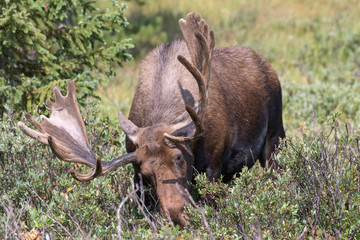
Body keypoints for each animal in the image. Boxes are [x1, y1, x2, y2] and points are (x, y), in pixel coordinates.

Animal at [18, 13, 286, 227]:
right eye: (147, 173)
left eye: (179, 158)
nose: (178, 215)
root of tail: (268, 66)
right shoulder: (139, 183)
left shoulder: (214, 166)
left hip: (275, 139)